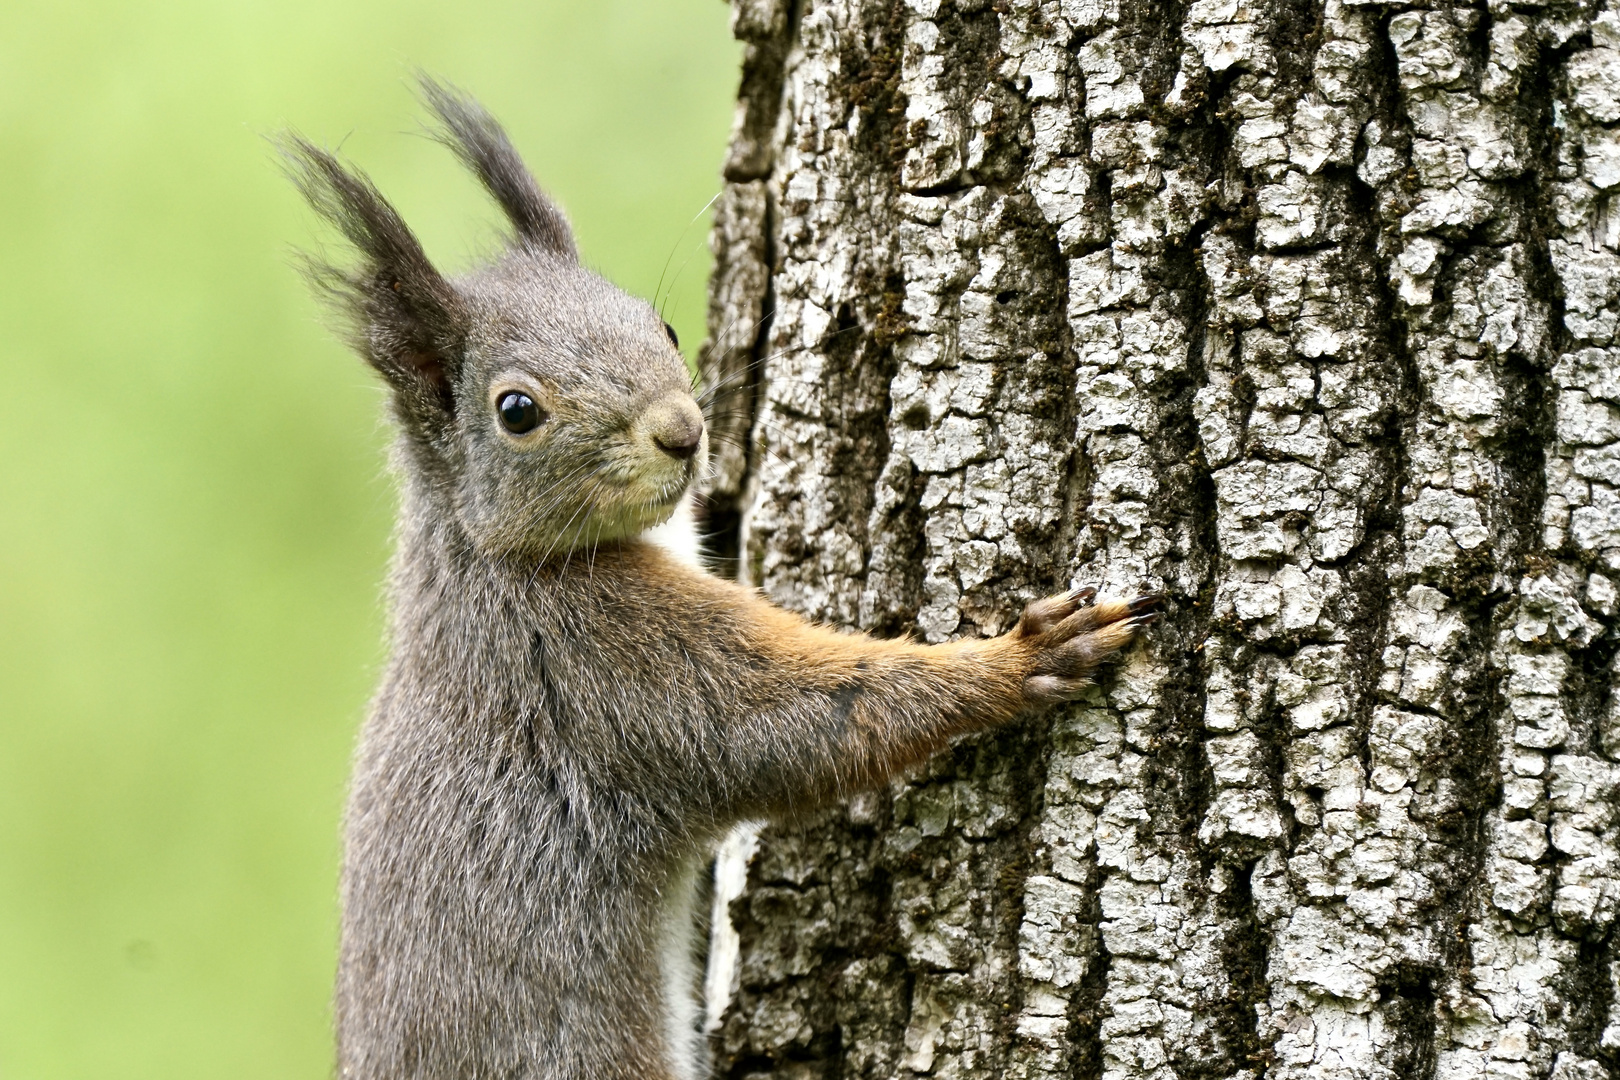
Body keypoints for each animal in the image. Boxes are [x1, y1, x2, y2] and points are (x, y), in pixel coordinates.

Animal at [285, 78, 1159, 1080]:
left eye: (661, 323)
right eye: (516, 410)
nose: (682, 430)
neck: (497, 553)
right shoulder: (605, 666)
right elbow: (793, 725)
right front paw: (1021, 660)